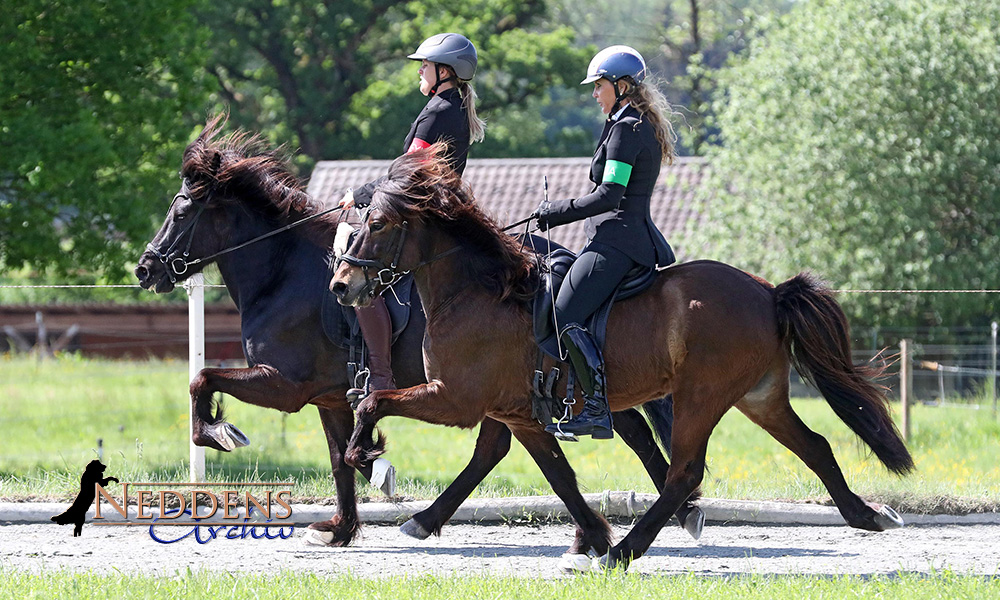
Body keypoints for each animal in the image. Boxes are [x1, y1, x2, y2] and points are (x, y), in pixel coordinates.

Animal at [135, 116, 704, 548]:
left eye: (180, 210)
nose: (145, 268)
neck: (284, 270)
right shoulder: (328, 395)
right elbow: (339, 459)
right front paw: (342, 524)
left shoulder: (285, 383)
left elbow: (203, 379)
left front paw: (215, 432)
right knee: (519, 444)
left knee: (614, 430)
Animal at [334, 148, 916, 568]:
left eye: (378, 224)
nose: (343, 285)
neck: (477, 291)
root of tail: (768, 292)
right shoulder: (516, 413)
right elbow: (551, 474)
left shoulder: (455, 400)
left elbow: (372, 402)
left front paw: (368, 459)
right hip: (760, 397)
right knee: (814, 446)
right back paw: (867, 516)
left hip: (702, 395)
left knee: (685, 470)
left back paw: (623, 552)